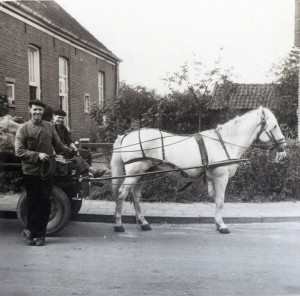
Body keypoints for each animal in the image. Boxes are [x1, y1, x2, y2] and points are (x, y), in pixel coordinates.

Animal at [110, 106, 286, 234]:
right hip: (134, 173)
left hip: (143, 173)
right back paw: (118, 224)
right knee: (122, 194)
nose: (284, 145)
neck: (224, 143)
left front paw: (217, 224)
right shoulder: (220, 178)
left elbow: (216, 200)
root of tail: (126, 136)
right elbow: (220, 201)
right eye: (275, 125)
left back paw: (143, 223)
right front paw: (222, 226)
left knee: (136, 196)